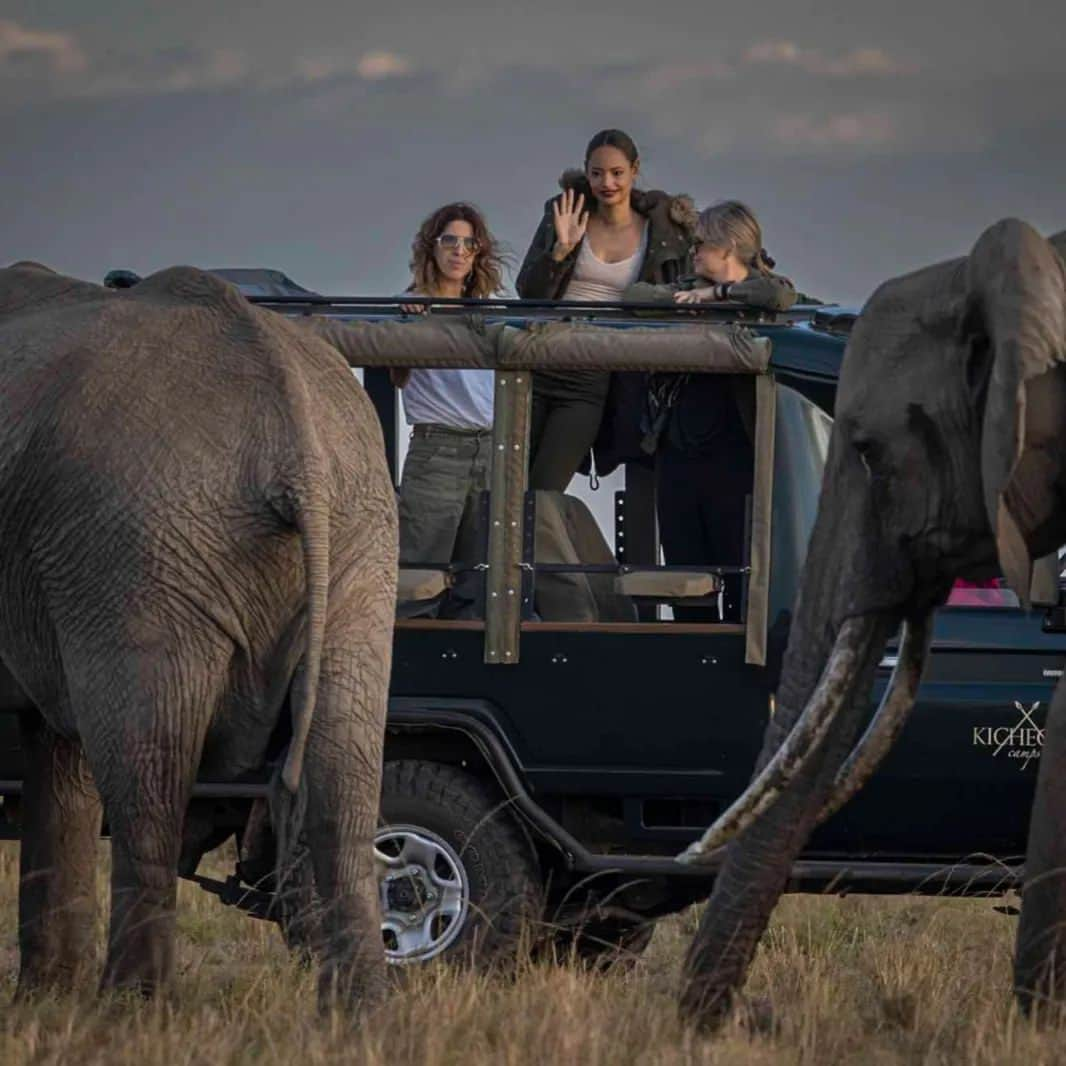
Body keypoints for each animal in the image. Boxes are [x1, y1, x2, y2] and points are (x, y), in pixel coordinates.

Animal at [0, 262, 398, 1002]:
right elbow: (55, 755)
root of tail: (293, 431)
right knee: (344, 781)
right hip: (359, 537)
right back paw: (362, 1012)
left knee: (149, 783)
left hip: (136, 549)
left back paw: (128, 1008)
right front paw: (46, 1004)